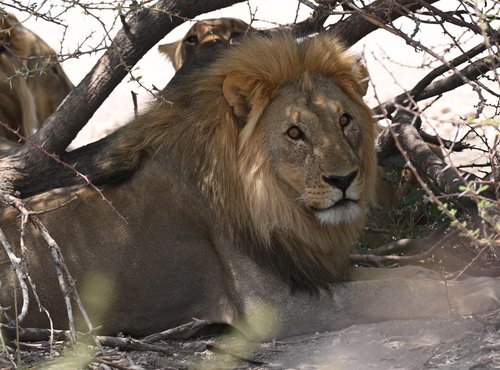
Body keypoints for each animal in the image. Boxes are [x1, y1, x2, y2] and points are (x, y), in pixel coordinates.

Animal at [0, 32, 500, 342]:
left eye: (344, 120)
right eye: (294, 133)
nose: (343, 180)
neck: (279, 205)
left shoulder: (313, 272)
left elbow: (409, 276)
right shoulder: (280, 309)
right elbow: (397, 293)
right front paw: (479, 292)